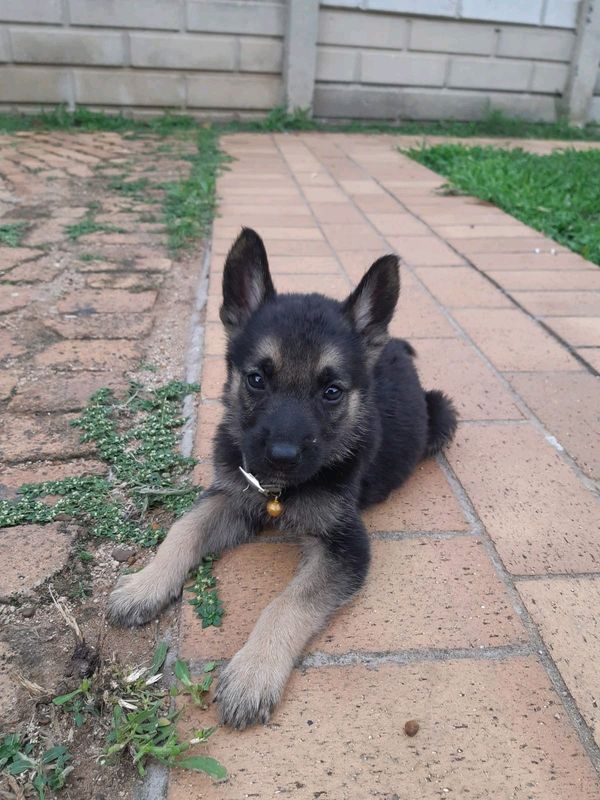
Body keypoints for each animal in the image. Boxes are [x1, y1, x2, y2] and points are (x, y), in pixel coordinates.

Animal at [108, 227, 458, 732]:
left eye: (331, 392)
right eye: (256, 379)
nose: (281, 458)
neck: (280, 492)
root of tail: (392, 344)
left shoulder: (344, 546)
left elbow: (287, 603)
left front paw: (254, 672)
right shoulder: (230, 495)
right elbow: (183, 530)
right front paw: (145, 585)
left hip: (442, 412)